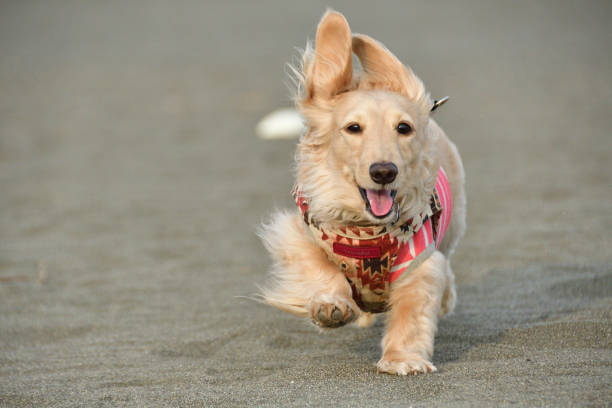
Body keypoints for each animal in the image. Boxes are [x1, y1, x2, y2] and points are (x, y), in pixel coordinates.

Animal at [256, 10, 464, 376]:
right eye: (353, 128)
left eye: (403, 128)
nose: (384, 171)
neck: (365, 233)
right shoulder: (297, 233)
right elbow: (320, 269)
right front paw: (331, 306)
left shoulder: (421, 262)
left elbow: (412, 315)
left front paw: (403, 359)